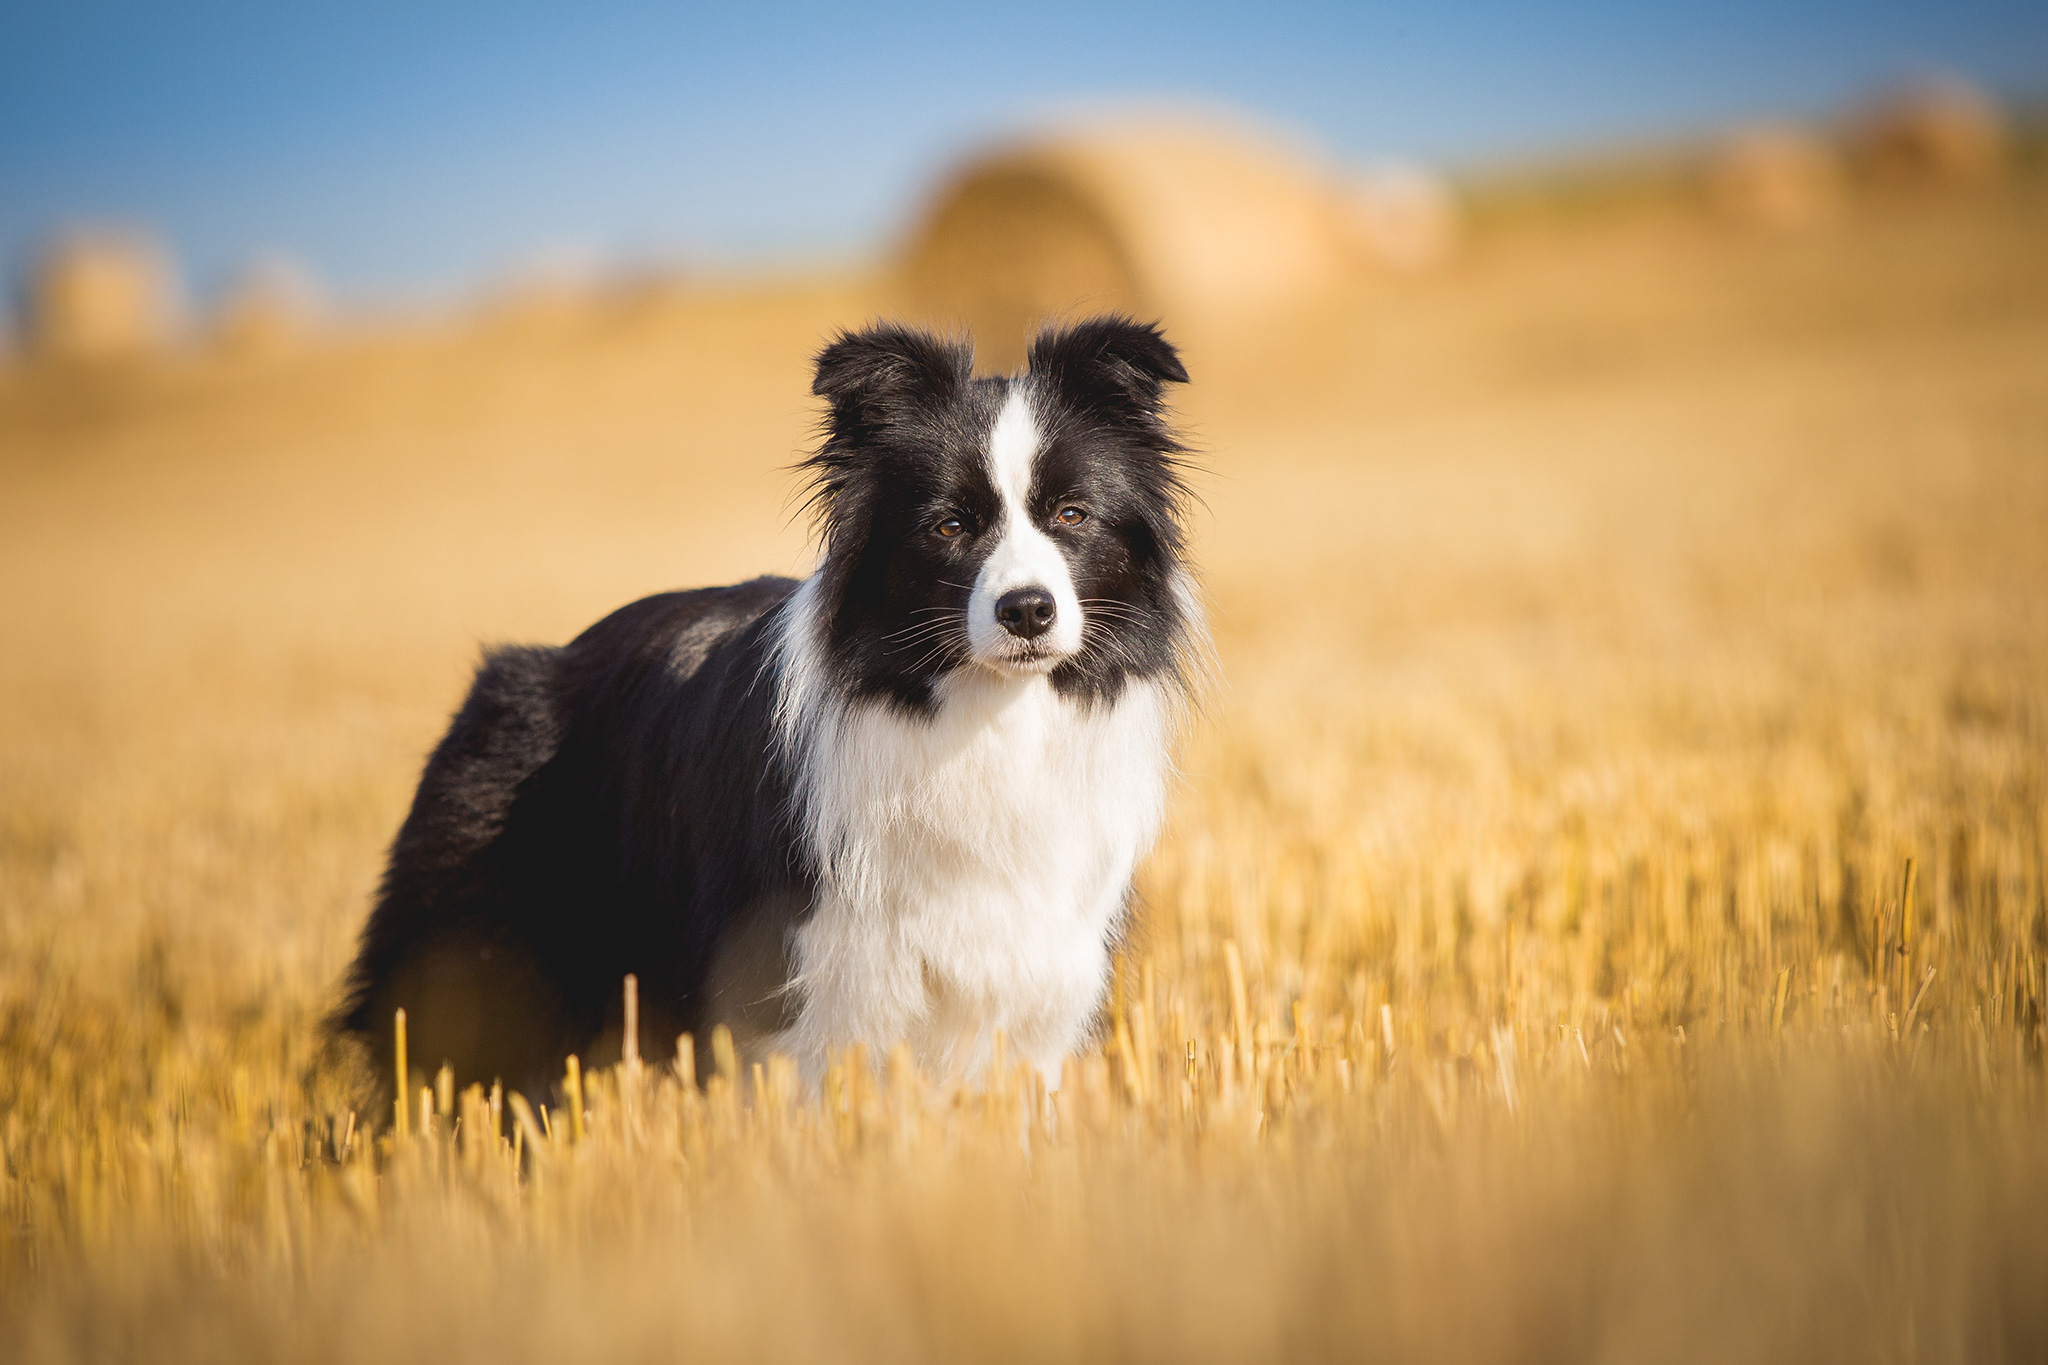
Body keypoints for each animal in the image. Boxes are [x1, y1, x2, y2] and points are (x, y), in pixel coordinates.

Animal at [335, 313, 1196, 1096]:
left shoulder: (1039, 980)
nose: (1027, 610)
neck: (990, 715)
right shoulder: (815, 986)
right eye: (950, 525)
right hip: (482, 958)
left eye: (1072, 514)